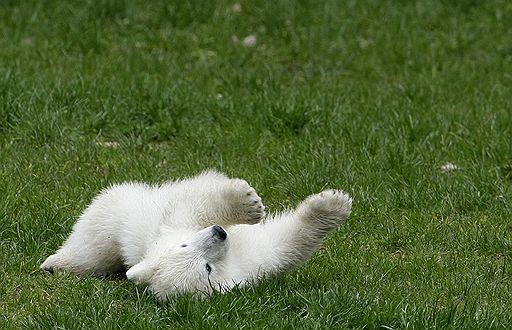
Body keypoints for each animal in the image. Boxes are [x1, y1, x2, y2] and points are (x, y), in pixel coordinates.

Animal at [41, 170, 352, 302]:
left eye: (183, 244)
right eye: (207, 268)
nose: (220, 232)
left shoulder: (173, 225)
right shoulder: (241, 268)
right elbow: (282, 244)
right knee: (93, 248)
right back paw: (56, 264)